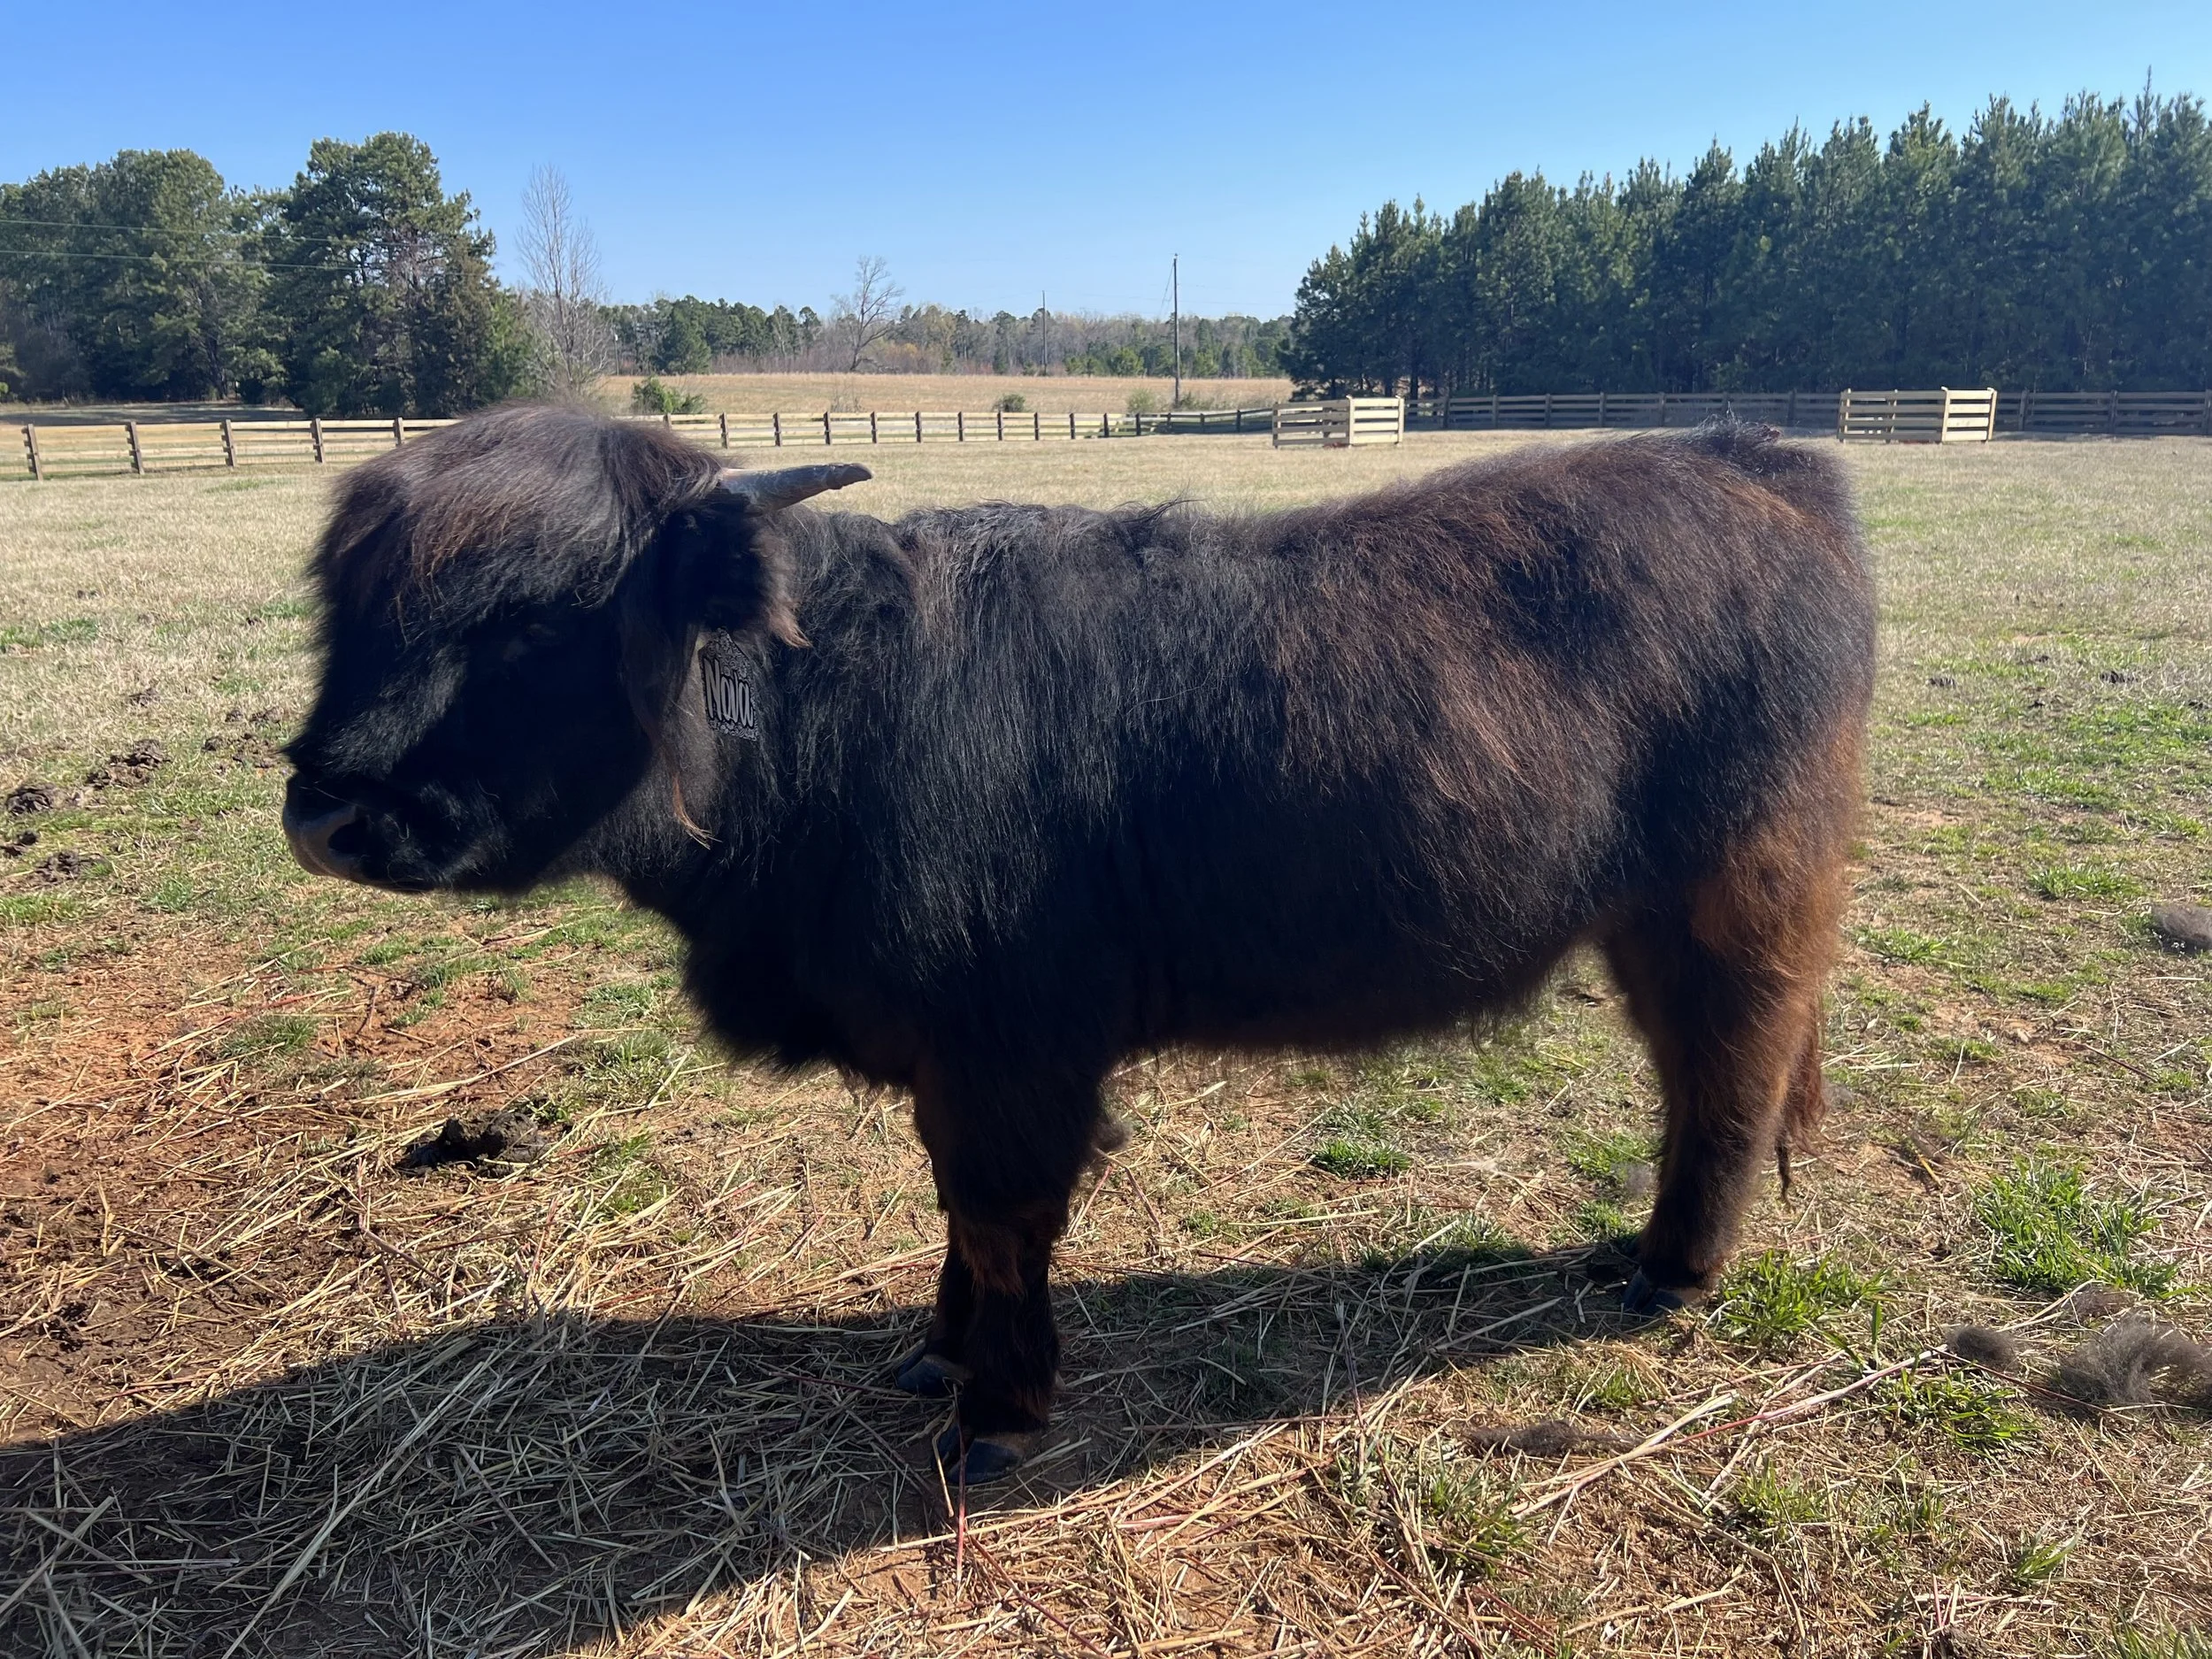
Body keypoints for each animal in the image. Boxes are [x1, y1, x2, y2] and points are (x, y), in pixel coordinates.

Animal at [282, 403, 1875, 1481]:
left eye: (531, 622)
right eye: (346, 607)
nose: (325, 810)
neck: (842, 723)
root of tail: (1753, 459)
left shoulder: (1013, 1051)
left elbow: (1000, 1221)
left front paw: (998, 1408)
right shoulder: (951, 1052)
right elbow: (951, 1218)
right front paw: (936, 1354)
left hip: (1738, 902)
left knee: (1725, 1079)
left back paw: (1670, 1271)